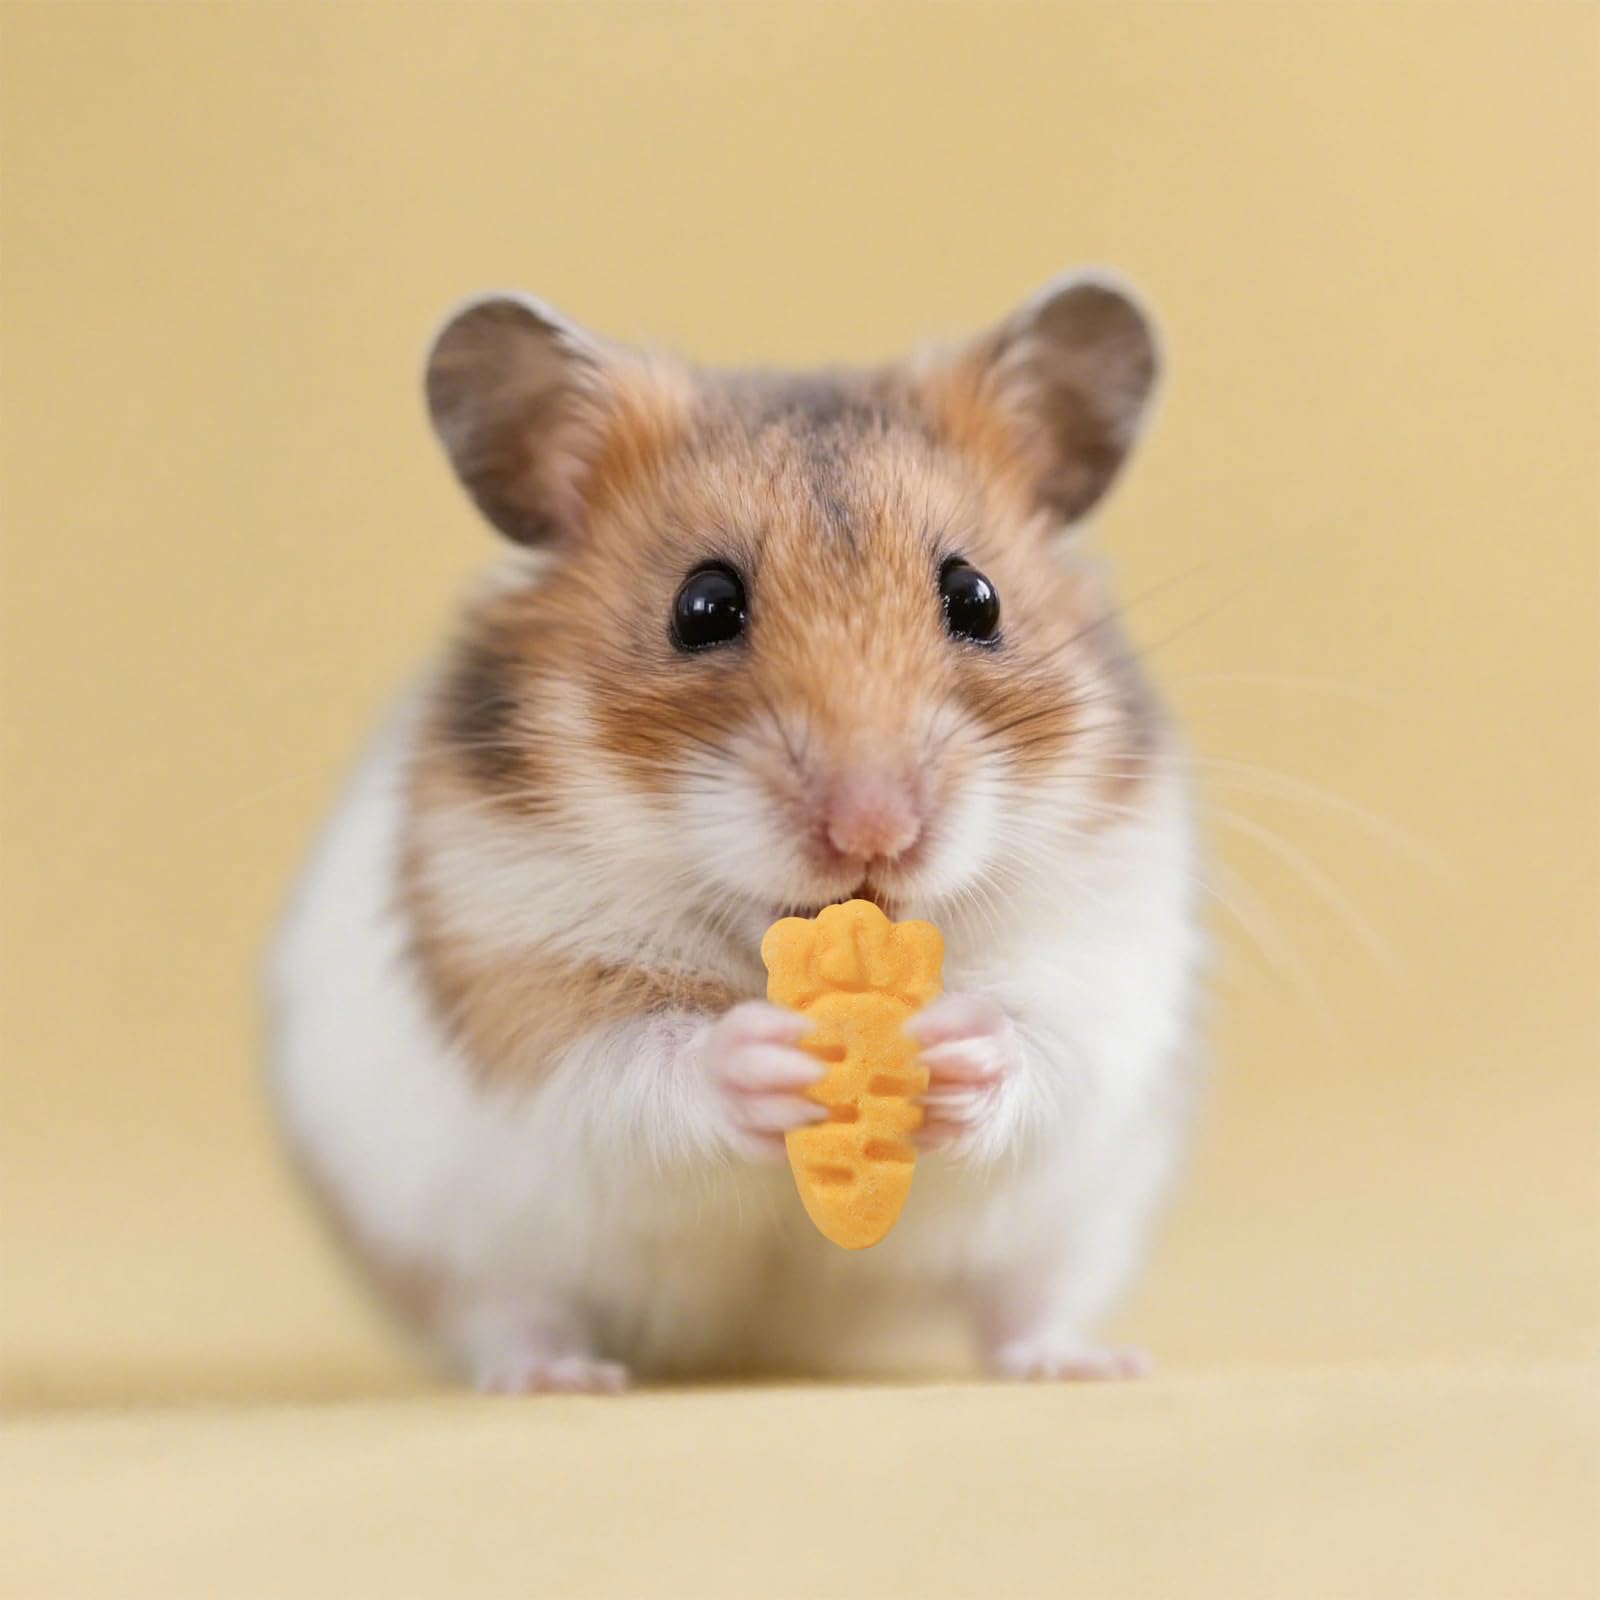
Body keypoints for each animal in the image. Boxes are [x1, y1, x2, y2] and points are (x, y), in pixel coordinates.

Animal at [266, 274, 1203, 1392]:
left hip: (1076, 1225)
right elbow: (633, 1062)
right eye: (703, 605)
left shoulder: (1108, 945)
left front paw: (952, 1046)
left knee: (1026, 1304)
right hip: (453, 1240)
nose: (875, 828)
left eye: (975, 597)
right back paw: (556, 1377)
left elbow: (1049, 1039)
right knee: (507, 1310)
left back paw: (1084, 1366)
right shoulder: (515, 964)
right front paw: (765, 1056)